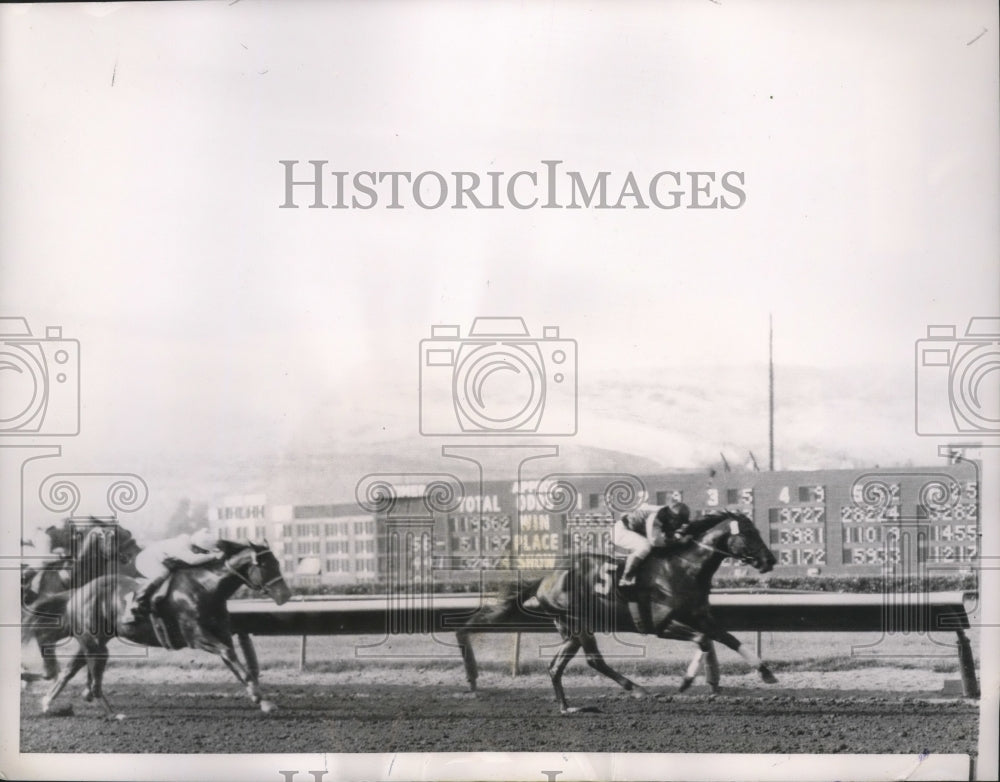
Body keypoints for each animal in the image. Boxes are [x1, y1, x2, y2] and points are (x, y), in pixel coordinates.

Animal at [25, 544, 292, 720]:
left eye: (278, 562)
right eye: (266, 565)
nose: (286, 595)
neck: (206, 587)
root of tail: (77, 592)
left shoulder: (222, 635)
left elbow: (236, 663)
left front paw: (262, 699)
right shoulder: (197, 637)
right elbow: (230, 655)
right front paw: (261, 698)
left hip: (94, 640)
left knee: (71, 669)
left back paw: (49, 703)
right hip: (95, 643)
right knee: (93, 677)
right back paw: (111, 712)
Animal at [458, 512, 776, 712]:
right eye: (749, 533)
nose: (770, 560)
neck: (683, 567)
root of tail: (547, 578)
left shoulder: (701, 616)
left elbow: (725, 639)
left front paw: (766, 672)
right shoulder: (659, 625)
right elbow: (702, 640)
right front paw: (685, 682)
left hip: (571, 629)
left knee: (559, 666)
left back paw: (567, 707)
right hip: (579, 623)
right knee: (591, 661)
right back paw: (636, 689)